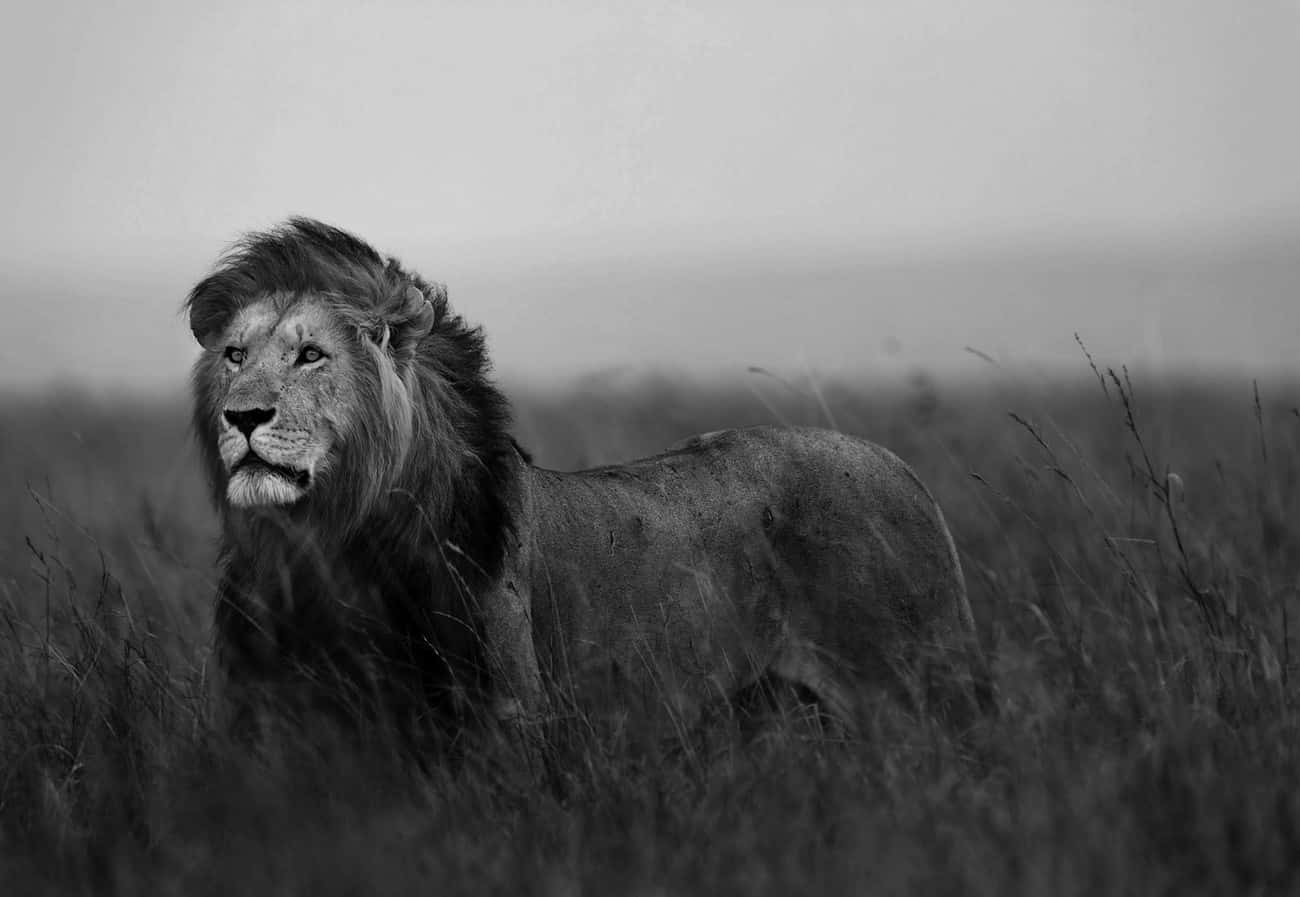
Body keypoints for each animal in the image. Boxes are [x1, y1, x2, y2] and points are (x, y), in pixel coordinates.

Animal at [188, 214, 982, 733]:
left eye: (310, 355)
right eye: (234, 354)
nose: (242, 416)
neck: (325, 545)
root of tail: (902, 467)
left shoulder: (506, 723)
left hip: (919, 695)